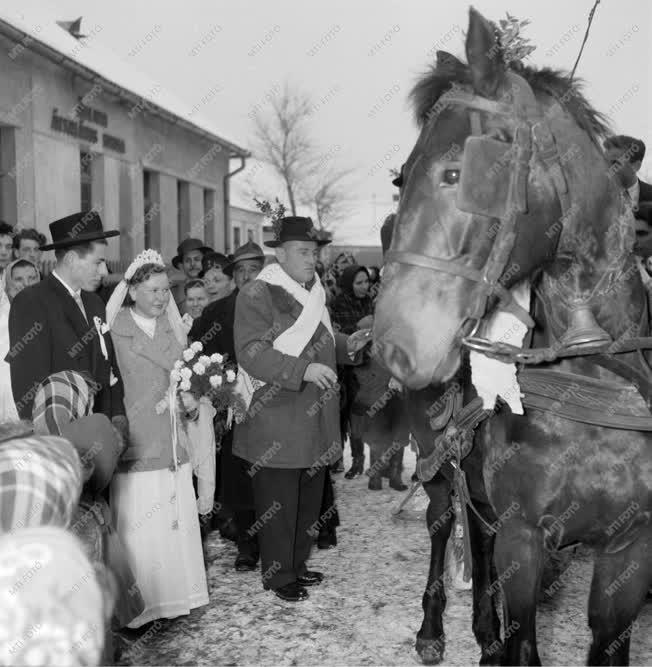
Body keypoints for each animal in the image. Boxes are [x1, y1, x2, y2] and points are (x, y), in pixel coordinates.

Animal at [372, 6, 652, 667]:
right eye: (400, 180)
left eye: (456, 172)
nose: (393, 345)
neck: (592, 377)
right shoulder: (526, 540)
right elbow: (523, 639)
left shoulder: (630, 548)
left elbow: (609, 640)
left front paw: (491, 632)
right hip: (440, 460)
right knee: (445, 523)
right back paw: (436, 627)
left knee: (479, 530)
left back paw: (482, 628)